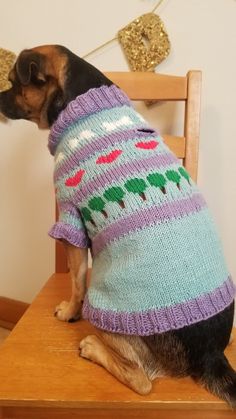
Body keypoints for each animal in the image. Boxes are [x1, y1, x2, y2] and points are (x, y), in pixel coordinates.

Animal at [0, 45, 236, 406]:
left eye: (14, 82)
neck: (82, 99)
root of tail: (210, 355)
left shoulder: (71, 219)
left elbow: (77, 280)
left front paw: (70, 311)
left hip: (109, 307)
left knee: (141, 380)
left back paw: (93, 347)